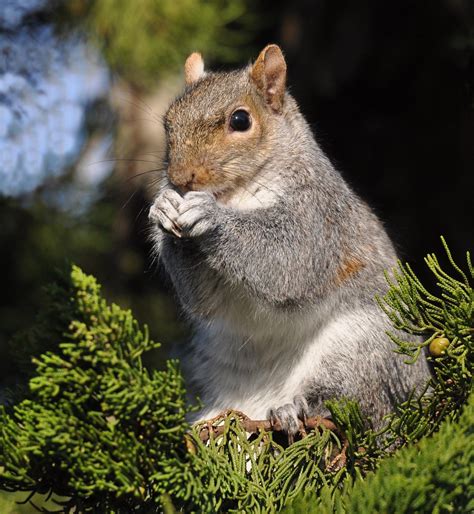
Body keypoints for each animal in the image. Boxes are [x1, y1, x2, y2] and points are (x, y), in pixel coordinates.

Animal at [150, 44, 432, 430]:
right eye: (169, 123)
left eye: (240, 121)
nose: (180, 178)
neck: (235, 194)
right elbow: (203, 300)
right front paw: (164, 210)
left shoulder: (317, 217)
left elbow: (289, 261)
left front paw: (212, 219)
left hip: (365, 347)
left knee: (348, 398)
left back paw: (295, 407)